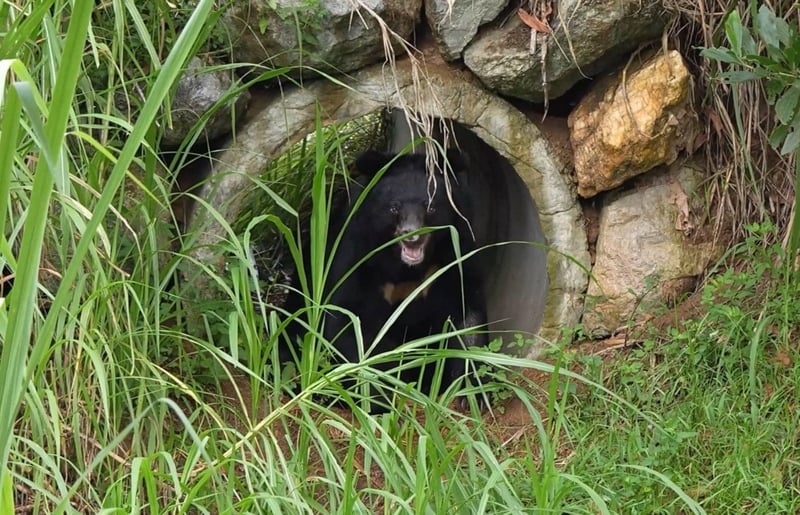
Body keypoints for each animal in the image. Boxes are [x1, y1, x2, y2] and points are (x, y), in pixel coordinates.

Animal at [288, 148, 488, 412]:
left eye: (430, 206)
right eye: (394, 207)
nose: (411, 234)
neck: (406, 268)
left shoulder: (457, 253)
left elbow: (466, 315)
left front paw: (473, 393)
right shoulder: (354, 253)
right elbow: (349, 322)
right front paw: (377, 397)